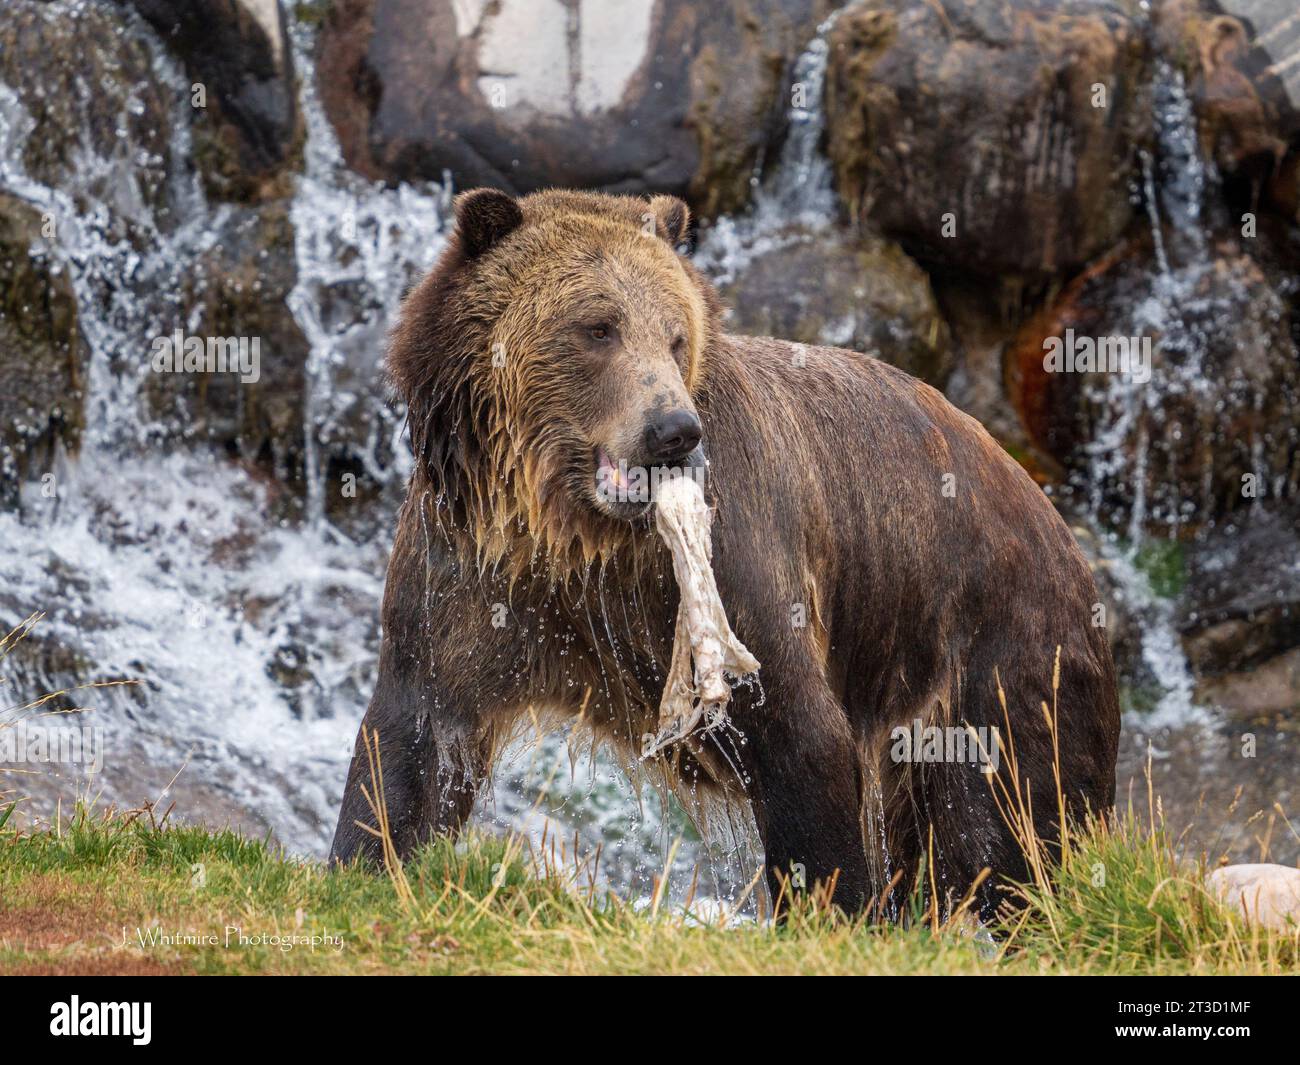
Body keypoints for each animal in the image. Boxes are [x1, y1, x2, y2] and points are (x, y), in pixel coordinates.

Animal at [330, 187, 1123, 920]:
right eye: (598, 327)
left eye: (676, 335)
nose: (673, 429)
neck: (577, 533)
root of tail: (1061, 535)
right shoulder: (476, 565)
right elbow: (415, 742)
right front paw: (365, 865)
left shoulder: (739, 559)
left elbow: (802, 741)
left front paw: (832, 910)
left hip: (990, 658)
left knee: (1005, 832)